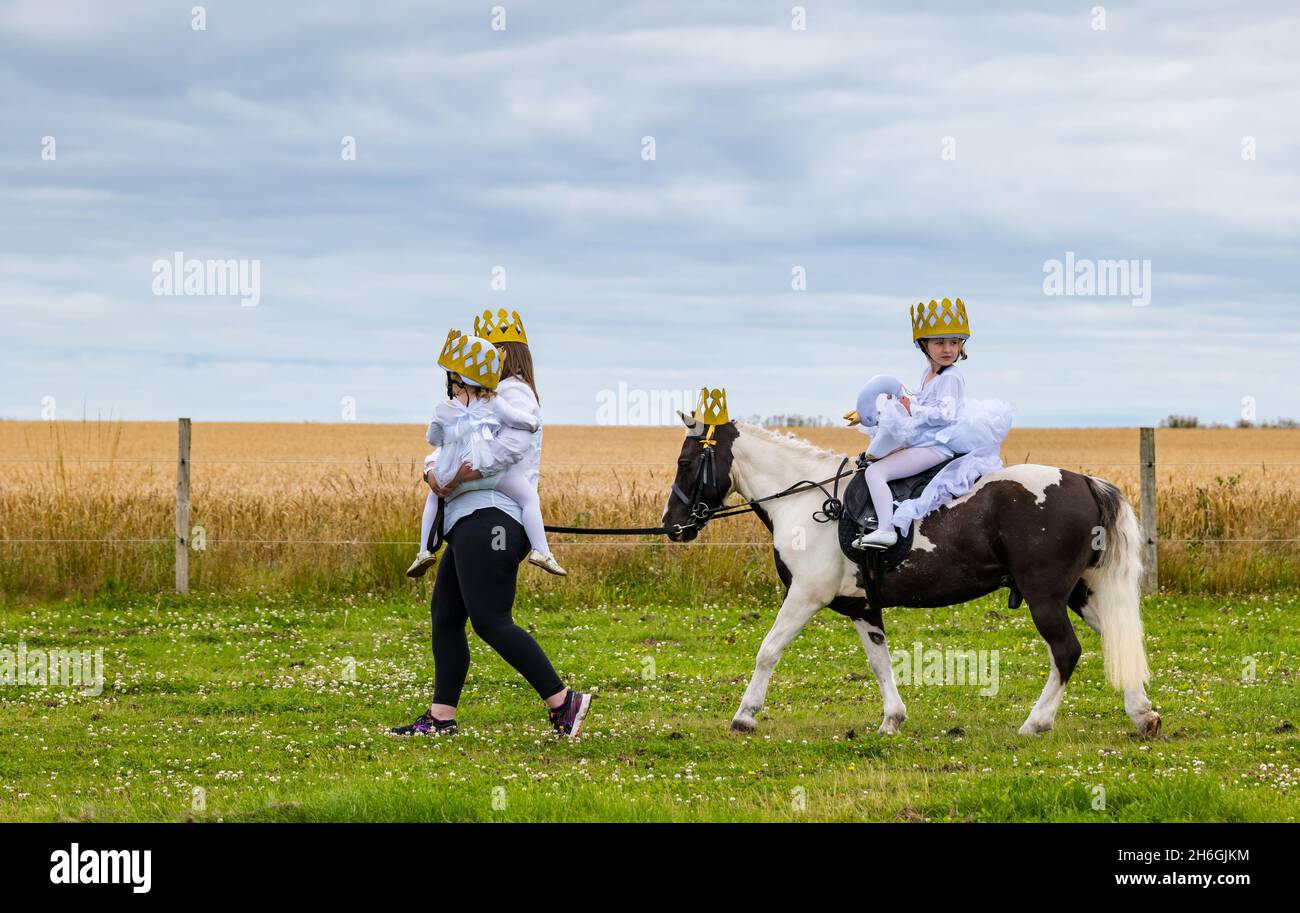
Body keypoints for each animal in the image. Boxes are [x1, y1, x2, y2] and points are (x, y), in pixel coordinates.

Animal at [660, 418, 1159, 738]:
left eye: (686, 462)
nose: (671, 526)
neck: (807, 502)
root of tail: (1083, 481)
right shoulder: (861, 607)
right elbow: (880, 663)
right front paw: (892, 720)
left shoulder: (805, 596)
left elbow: (768, 651)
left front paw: (744, 716)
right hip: (1078, 593)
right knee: (1115, 636)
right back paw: (1142, 715)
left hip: (1046, 596)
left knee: (1066, 652)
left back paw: (1036, 723)